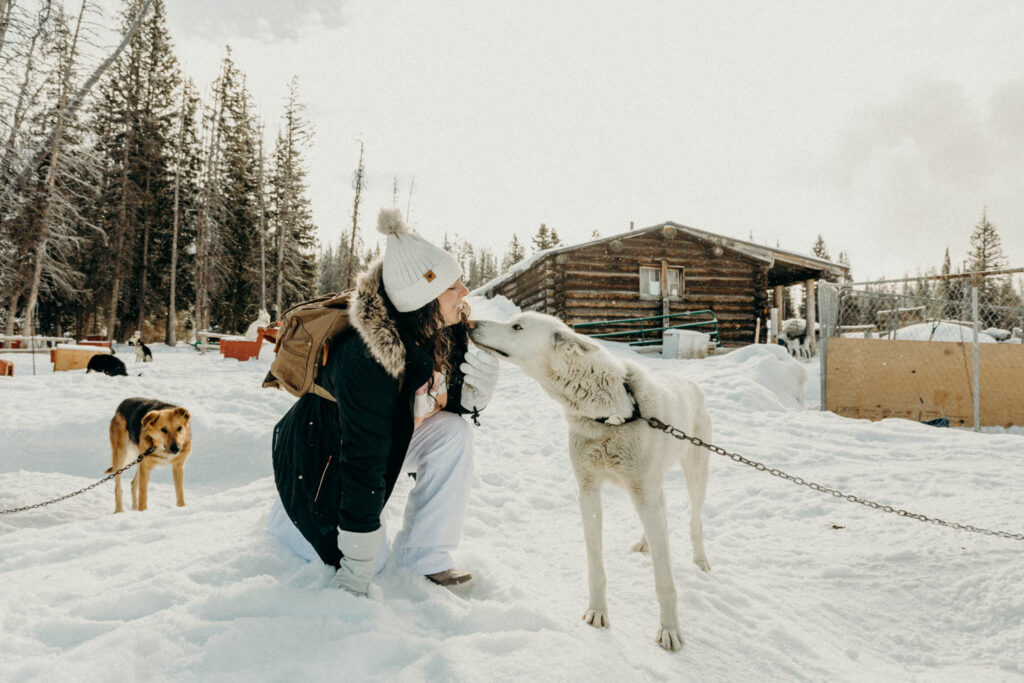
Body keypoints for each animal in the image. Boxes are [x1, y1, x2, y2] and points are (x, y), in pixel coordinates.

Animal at [468, 313, 708, 655]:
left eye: (517, 327)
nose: (470, 323)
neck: (611, 414)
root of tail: (689, 383)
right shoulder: (588, 492)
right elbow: (596, 565)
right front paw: (597, 612)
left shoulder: (643, 494)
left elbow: (664, 580)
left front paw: (670, 631)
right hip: (652, 487)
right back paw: (645, 542)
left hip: (695, 475)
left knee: (694, 520)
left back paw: (700, 560)